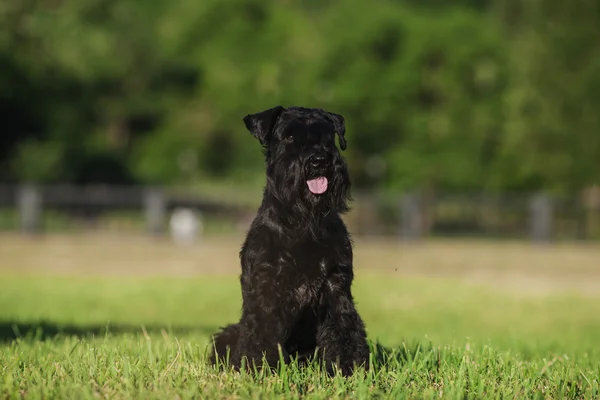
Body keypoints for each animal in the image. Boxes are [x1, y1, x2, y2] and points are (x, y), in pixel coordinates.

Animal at [210, 104, 370, 376]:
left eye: (328, 135)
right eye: (289, 135)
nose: (319, 160)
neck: (303, 222)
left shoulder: (336, 286)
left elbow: (343, 327)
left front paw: (348, 368)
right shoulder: (267, 286)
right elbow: (262, 331)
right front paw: (260, 367)